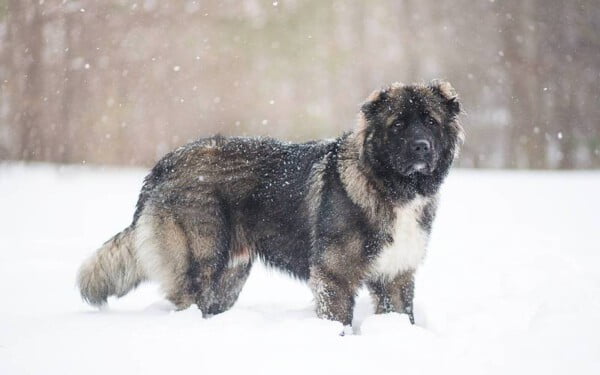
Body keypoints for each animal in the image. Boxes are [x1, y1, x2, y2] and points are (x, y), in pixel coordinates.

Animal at [77, 80, 464, 332]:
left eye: (430, 121)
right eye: (398, 124)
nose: (421, 147)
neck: (387, 186)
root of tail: (164, 164)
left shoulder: (396, 276)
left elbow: (402, 316)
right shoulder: (334, 276)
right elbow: (338, 320)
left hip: (230, 276)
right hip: (201, 263)